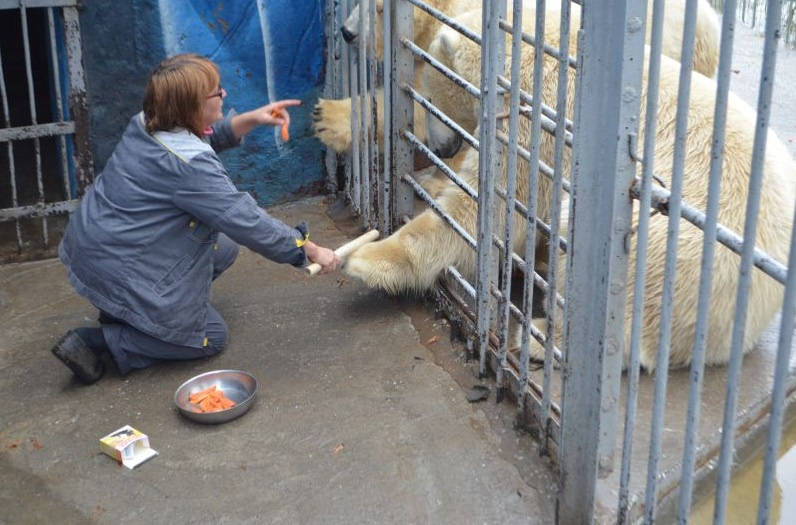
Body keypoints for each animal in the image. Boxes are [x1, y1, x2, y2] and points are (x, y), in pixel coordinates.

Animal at [344, 6, 796, 370]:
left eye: (428, 90)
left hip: (669, 258)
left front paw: (367, 260)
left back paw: (540, 335)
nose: (440, 147)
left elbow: (483, 209)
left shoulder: (536, 127)